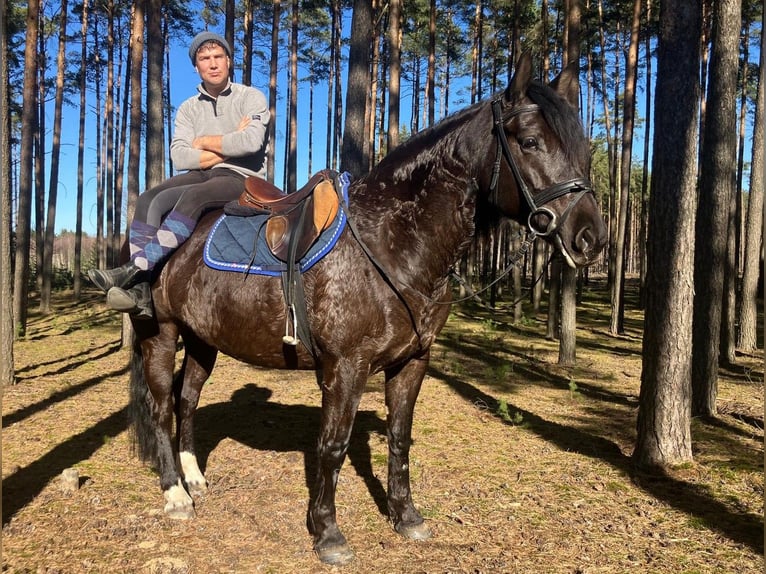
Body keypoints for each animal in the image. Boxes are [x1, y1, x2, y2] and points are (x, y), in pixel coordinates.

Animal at [126, 52, 608, 565]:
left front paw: (406, 516)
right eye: (531, 142)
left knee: (187, 400)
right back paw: (175, 494)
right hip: (162, 335)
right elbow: (332, 446)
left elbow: (399, 438)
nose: (591, 238)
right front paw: (328, 534)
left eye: (584, 150)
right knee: (160, 406)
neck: (391, 245)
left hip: (203, 341)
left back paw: (194, 478)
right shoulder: (346, 368)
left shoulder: (413, 361)